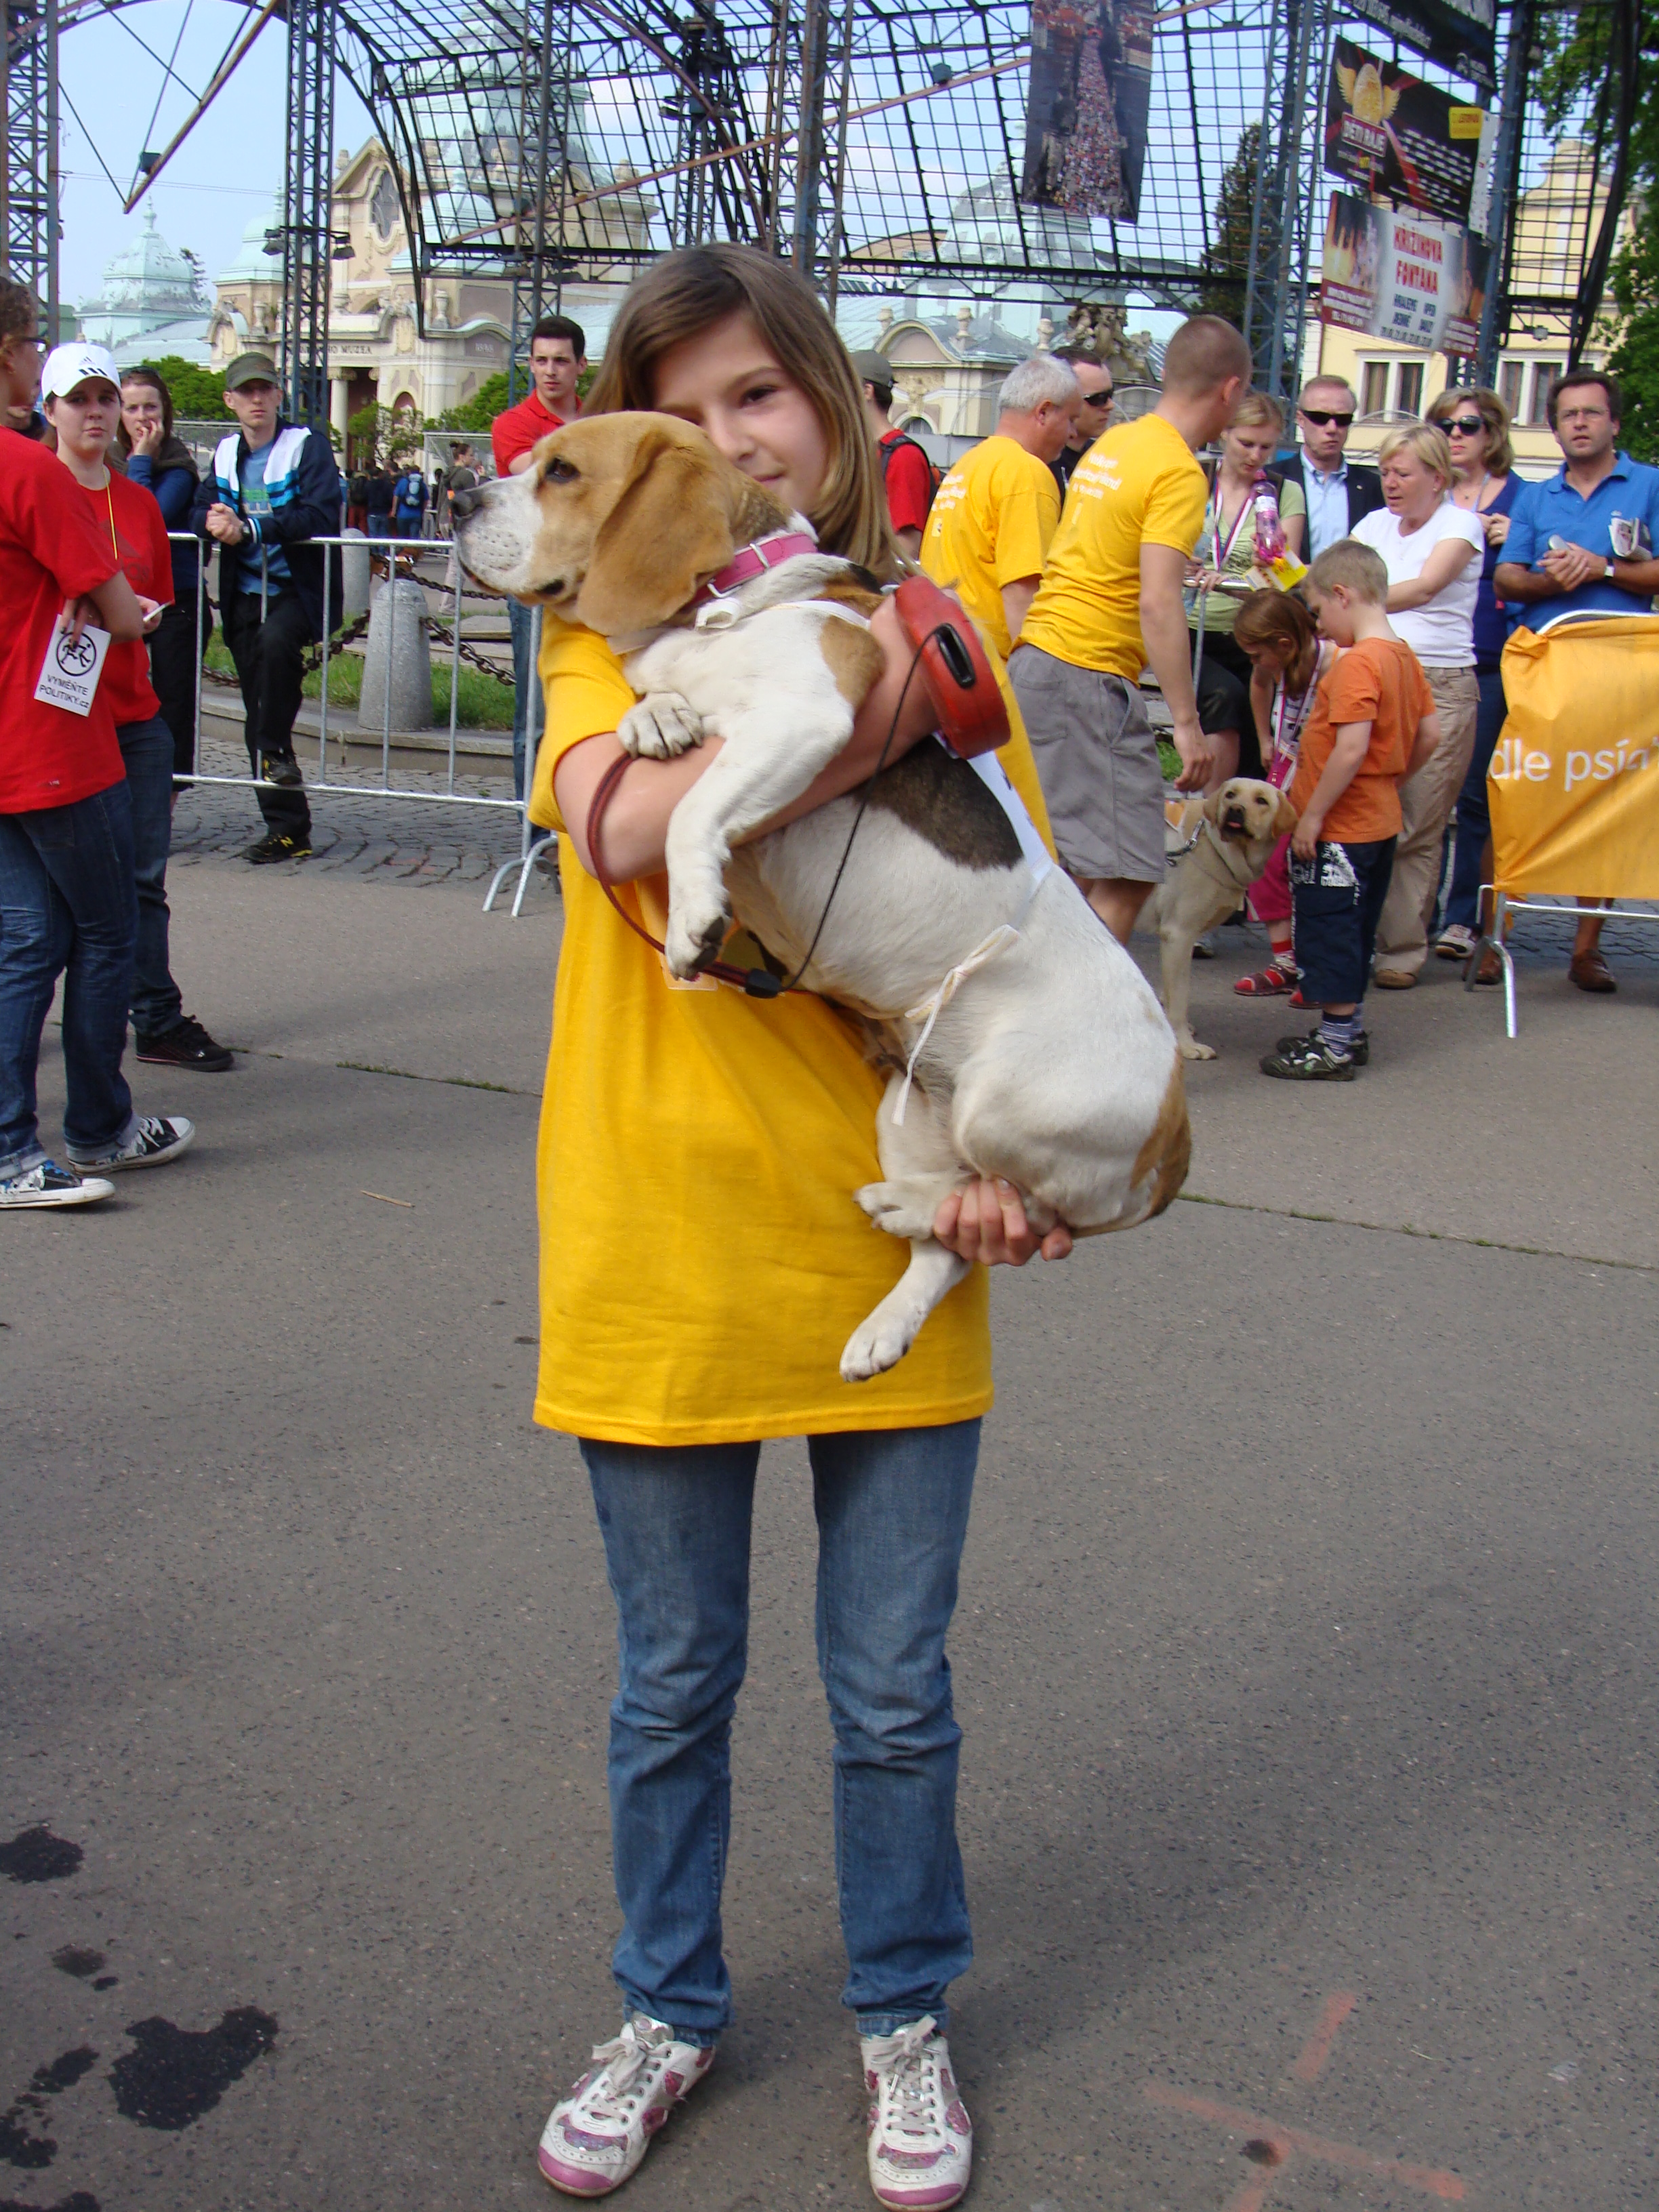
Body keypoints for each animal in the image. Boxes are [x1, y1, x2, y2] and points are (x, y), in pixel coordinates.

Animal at [451, 415, 1194, 1380]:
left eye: (563, 472)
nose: (456, 498)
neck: (726, 602)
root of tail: (1177, 1134)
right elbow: (654, 725)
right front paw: (657, 721)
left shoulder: (807, 713)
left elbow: (691, 811)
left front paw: (695, 919)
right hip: (913, 1111)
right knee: (957, 1241)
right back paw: (887, 1318)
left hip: (1008, 1105)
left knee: (1035, 1212)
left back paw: (902, 1211)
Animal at [1141, 774, 1300, 1057]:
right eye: (1230, 795)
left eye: (1262, 800)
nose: (1236, 810)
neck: (1212, 845)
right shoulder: (1178, 935)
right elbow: (1179, 999)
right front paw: (1185, 1045)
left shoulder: (1176, 941)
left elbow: (1171, 997)